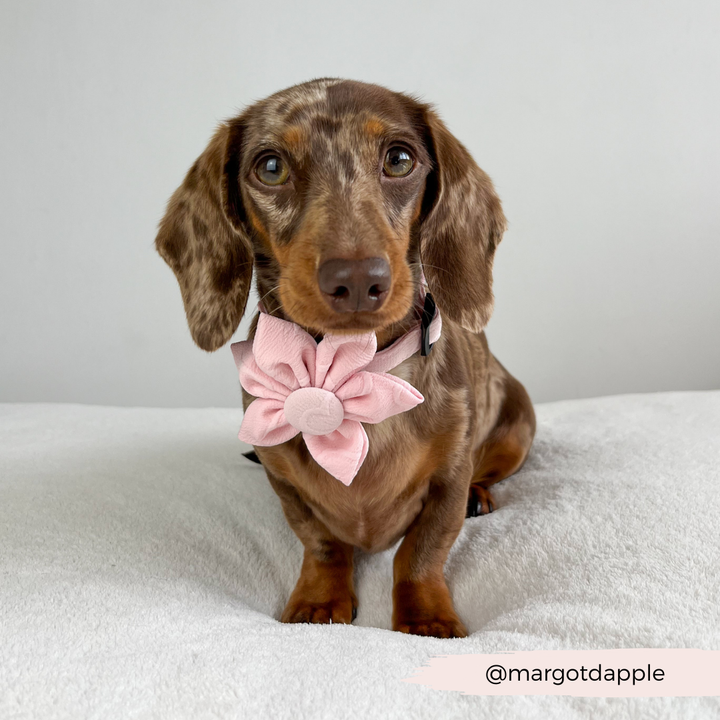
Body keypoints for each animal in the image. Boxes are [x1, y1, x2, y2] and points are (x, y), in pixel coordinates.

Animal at [159, 77, 540, 636]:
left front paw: (426, 616)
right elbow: (321, 542)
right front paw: (320, 600)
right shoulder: (282, 480)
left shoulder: (449, 475)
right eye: (270, 167)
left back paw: (482, 494)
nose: (359, 281)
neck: (350, 369)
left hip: (517, 428)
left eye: (400, 159)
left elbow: (422, 549)